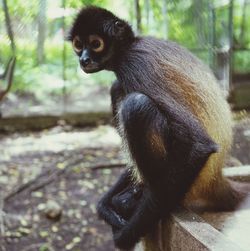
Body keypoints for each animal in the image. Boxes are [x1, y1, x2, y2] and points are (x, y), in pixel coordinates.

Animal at [68, 6, 242, 250]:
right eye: (78, 44)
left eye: (95, 43)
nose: (84, 59)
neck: (130, 45)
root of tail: (216, 177)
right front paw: (104, 205)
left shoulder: (135, 63)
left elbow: (197, 142)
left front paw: (125, 237)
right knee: (117, 88)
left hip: (190, 183)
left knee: (136, 104)